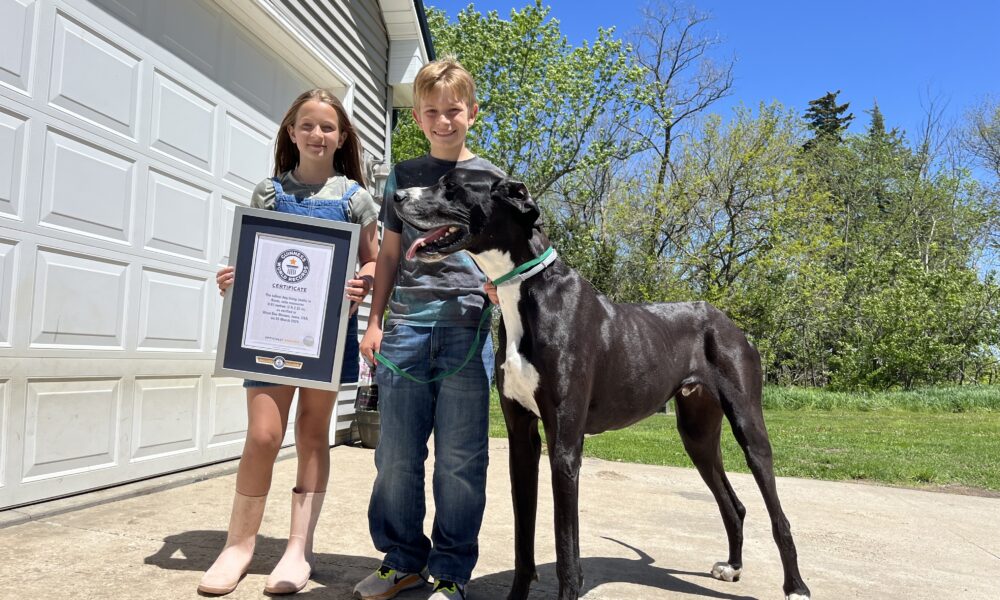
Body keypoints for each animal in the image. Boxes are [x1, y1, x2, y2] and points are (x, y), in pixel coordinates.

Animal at [394, 169, 808, 600]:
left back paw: (796, 586)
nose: (396, 196)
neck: (528, 291)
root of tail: (728, 323)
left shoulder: (565, 447)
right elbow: (523, 539)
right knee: (733, 503)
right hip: (697, 433)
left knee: (778, 514)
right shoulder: (522, 438)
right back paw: (733, 566)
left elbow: (566, 549)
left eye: (452, 186)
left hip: (748, 426)